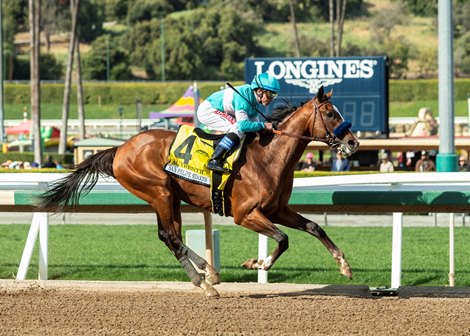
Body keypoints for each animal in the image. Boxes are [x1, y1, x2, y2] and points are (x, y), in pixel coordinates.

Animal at [37, 86, 360, 296]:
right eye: (330, 113)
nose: (353, 142)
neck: (269, 157)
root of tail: (120, 148)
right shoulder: (245, 214)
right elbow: (283, 239)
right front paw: (258, 263)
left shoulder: (277, 209)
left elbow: (314, 227)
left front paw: (344, 266)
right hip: (160, 192)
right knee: (170, 237)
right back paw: (205, 279)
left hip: (168, 197)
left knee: (170, 236)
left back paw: (207, 275)